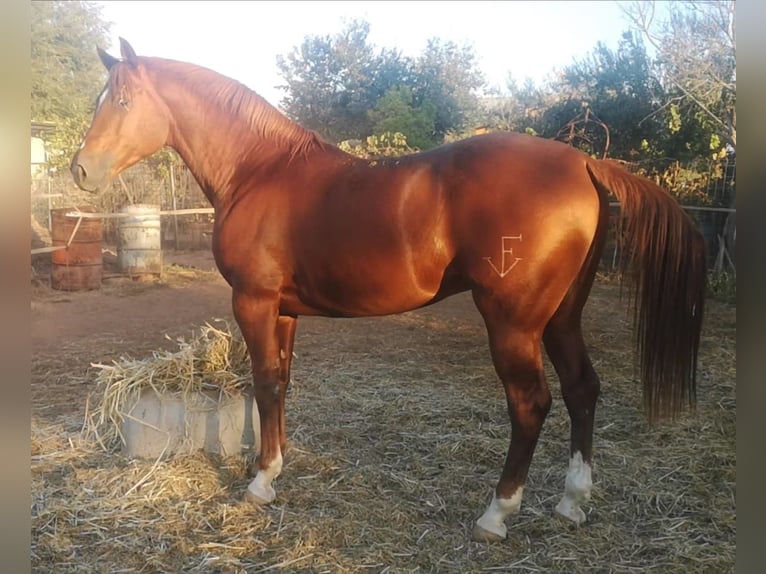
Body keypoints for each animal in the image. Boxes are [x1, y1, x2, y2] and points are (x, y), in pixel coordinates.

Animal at [72, 40, 708, 544]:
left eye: (121, 101)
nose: (80, 170)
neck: (259, 170)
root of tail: (582, 162)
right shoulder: (284, 311)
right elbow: (281, 382)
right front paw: (276, 467)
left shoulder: (253, 301)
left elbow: (264, 382)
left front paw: (260, 482)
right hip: (561, 316)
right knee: (582, 389)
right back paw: (572, 503)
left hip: (513, 322)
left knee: (531, 404)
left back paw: (496, 515)